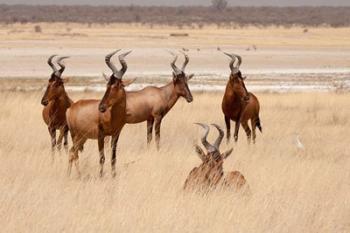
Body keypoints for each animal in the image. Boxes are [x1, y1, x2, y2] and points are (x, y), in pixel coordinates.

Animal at [65, 49, 134, 177]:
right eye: (107, 84)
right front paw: (101, 176)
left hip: (83, 137)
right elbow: (102, 158)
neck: (112, 116)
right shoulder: (100, 136)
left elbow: (113, 158)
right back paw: (76, 175)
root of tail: (70, 108)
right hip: (75, 135)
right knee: (73, 153)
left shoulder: (115, 135)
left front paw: (113, 176)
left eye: (117, 85)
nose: (101, 107)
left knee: (72, 152)